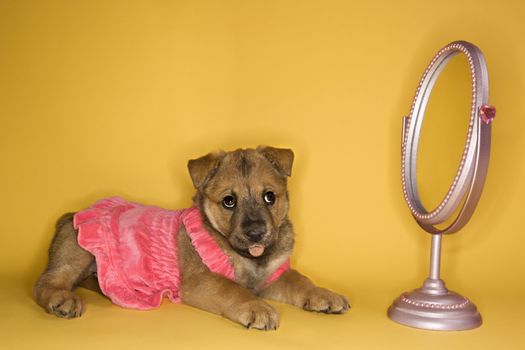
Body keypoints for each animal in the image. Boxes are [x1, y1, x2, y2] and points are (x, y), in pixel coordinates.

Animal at [34, 146, 350, 330]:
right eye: (229, 201)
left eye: (270, 196)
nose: (255, 233)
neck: (250, 259)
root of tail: (72, 213)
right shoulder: (203, 280)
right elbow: (233, 289)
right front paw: (256, 308)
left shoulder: (273, 276)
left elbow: (301, 280)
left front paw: (325, 295)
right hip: (77, 252)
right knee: (46, 282)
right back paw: (62, 300)